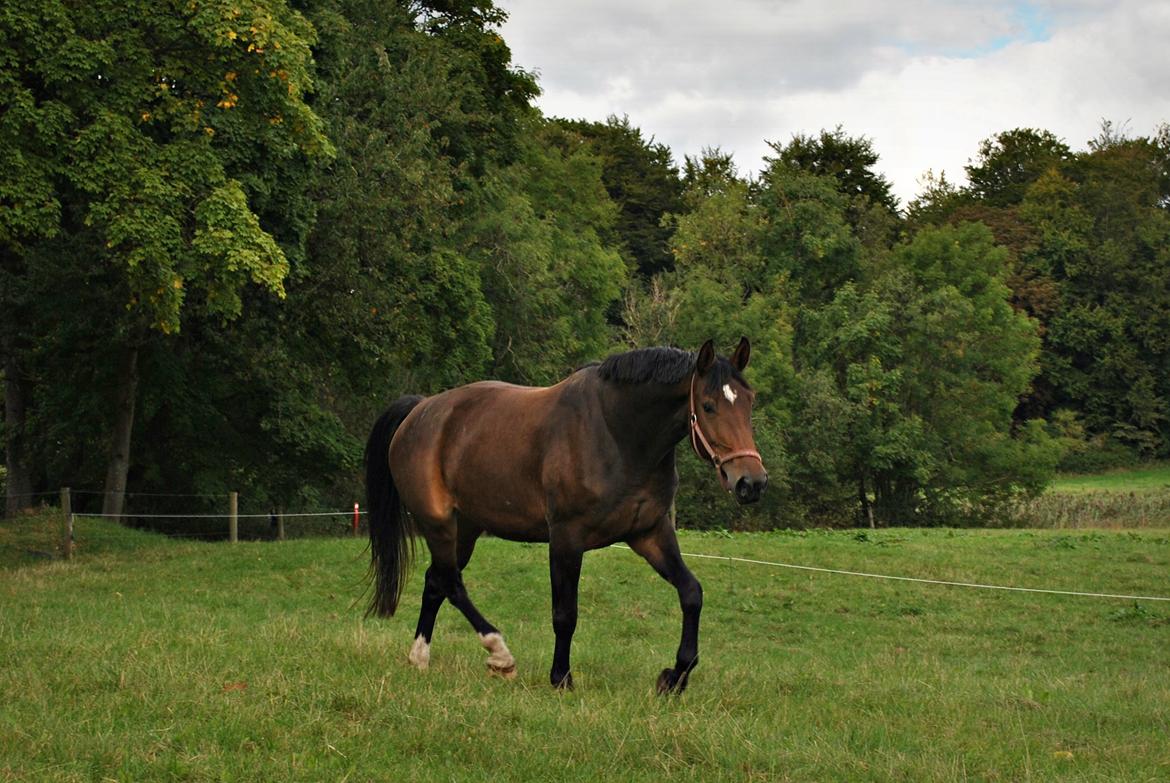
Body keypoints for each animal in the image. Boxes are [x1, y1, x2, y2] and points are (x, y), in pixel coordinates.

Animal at [365, 337, 767, 688]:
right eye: (709, 405)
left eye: (749, 402)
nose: (751, 481)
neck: (618, 435)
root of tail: (420, 411)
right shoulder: (566, 538)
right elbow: (565, 614)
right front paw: (561, 678)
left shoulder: (649, 533)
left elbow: (691, 593)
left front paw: (675, 676)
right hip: (438, 523)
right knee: (451, 582)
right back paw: (499, 654)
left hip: (465, 527)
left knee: (437, 581)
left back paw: (420, 657)